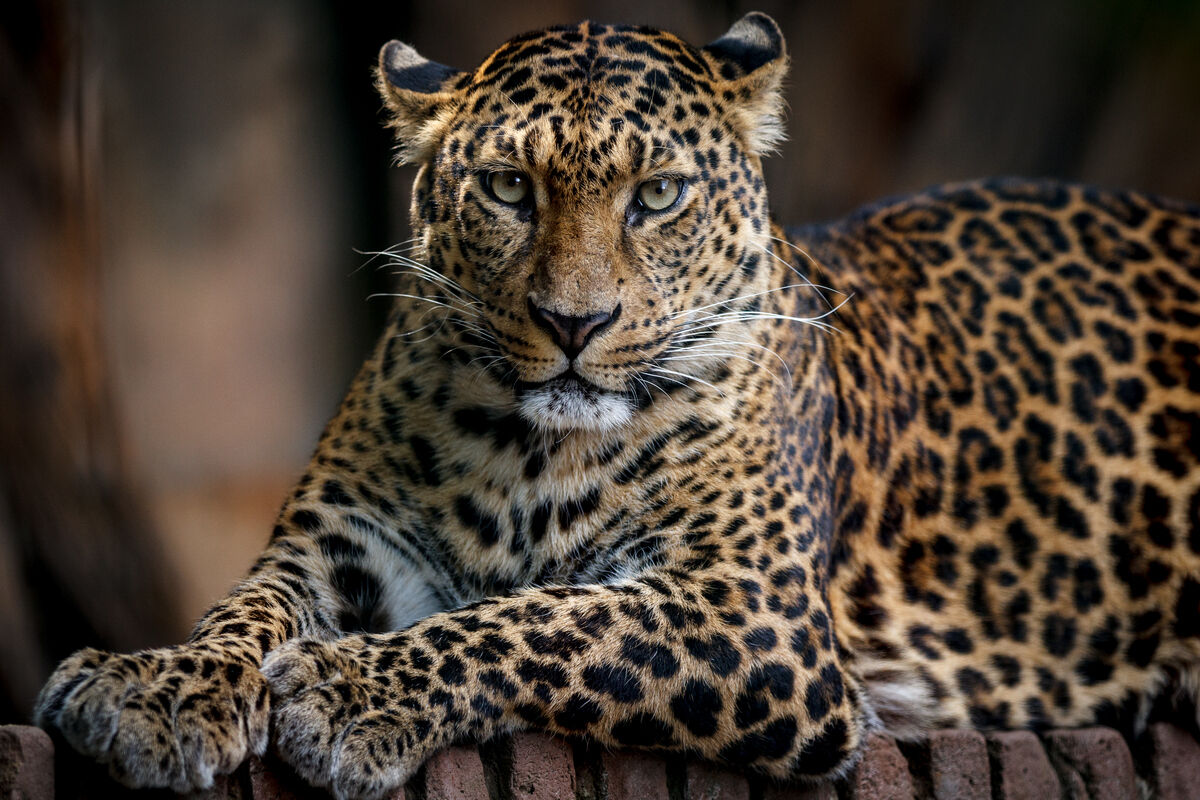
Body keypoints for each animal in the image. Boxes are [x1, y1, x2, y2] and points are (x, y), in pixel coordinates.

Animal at [34, 12, 1200, 800]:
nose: (574, 322)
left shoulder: (757, 614)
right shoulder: (341, 542)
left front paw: (352, 689)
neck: (528, 451)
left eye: (659, 195)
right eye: (509, 187)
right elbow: (244, 608)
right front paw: (158, 686)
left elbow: (549, 619)